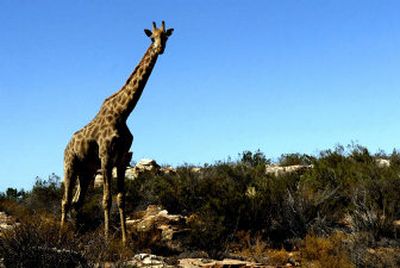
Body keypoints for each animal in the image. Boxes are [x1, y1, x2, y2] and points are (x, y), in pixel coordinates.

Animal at [60, 21, 173, 243]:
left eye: (166, 37)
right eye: (151, 37)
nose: (160, 49)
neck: (123, 114)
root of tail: (67, 145)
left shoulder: (121, 159)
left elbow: (121, 199)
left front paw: (125, 239)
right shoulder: (105, 158)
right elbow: (106, 199)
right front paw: (106, 238)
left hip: (86, 172)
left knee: (77, 202)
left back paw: (77, 234)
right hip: (70, 165)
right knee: (65, 201)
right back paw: (60, 235)